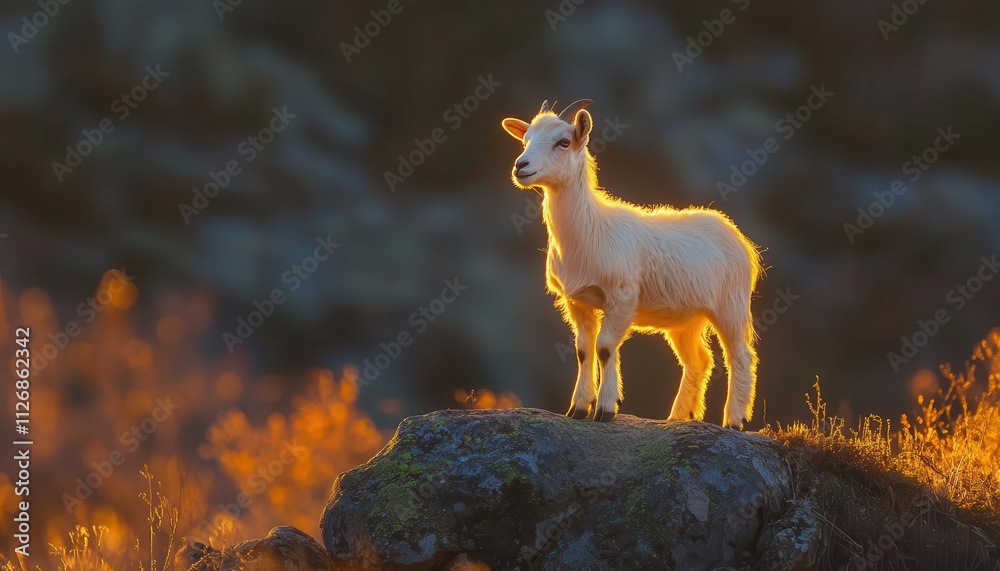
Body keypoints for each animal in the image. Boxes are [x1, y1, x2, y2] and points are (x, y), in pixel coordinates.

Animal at [500, 99, 756, 428]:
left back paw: (734, 420)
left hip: (730, 305)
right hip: (687, 318)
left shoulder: (621, 296)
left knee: (740, 356)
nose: (521, 166)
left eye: (563, 142)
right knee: (699, 360)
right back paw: (677, 417)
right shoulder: (576, 300)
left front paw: (605, 409)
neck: (591, 228)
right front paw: (578, 408)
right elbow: (583, 349)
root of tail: (735, 235)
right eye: (525, 140)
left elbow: (605, 347)